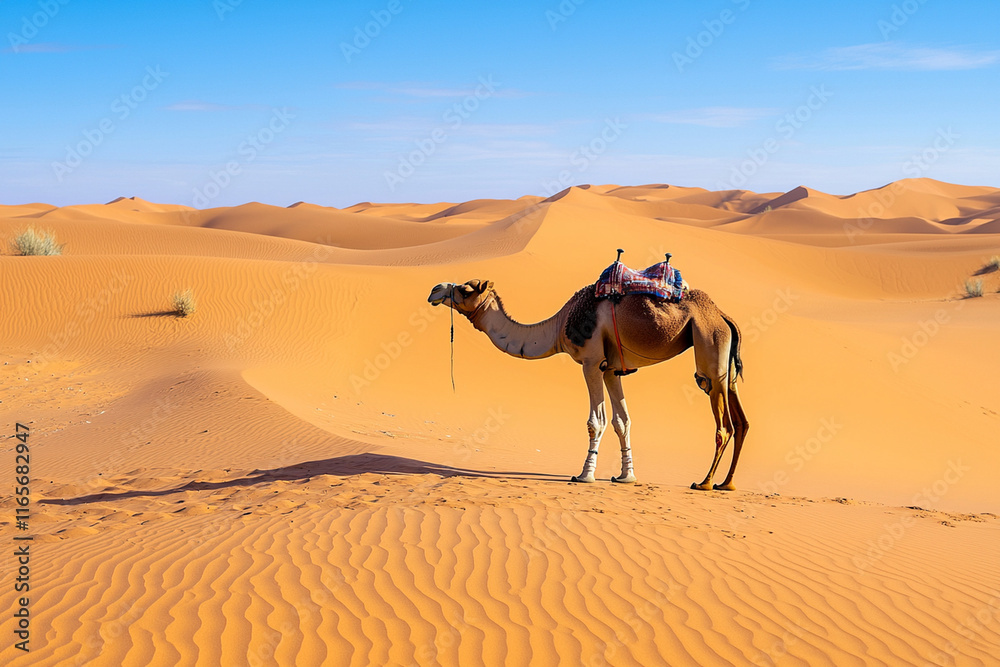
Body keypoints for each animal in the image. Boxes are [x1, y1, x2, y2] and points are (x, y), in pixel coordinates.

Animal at [427, 278, 748, 489]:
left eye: (465, 289)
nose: (434, 290)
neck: (559, 325)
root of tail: (723, 315)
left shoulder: (592, 362)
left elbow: (597, 421)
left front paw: (584, 475)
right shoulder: (612, 369)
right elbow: (622, 421)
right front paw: (626, 476)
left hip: (709, 348)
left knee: (722, 422)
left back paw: (705, 483)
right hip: (726, 362)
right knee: (741, 422)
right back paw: (726, 484)